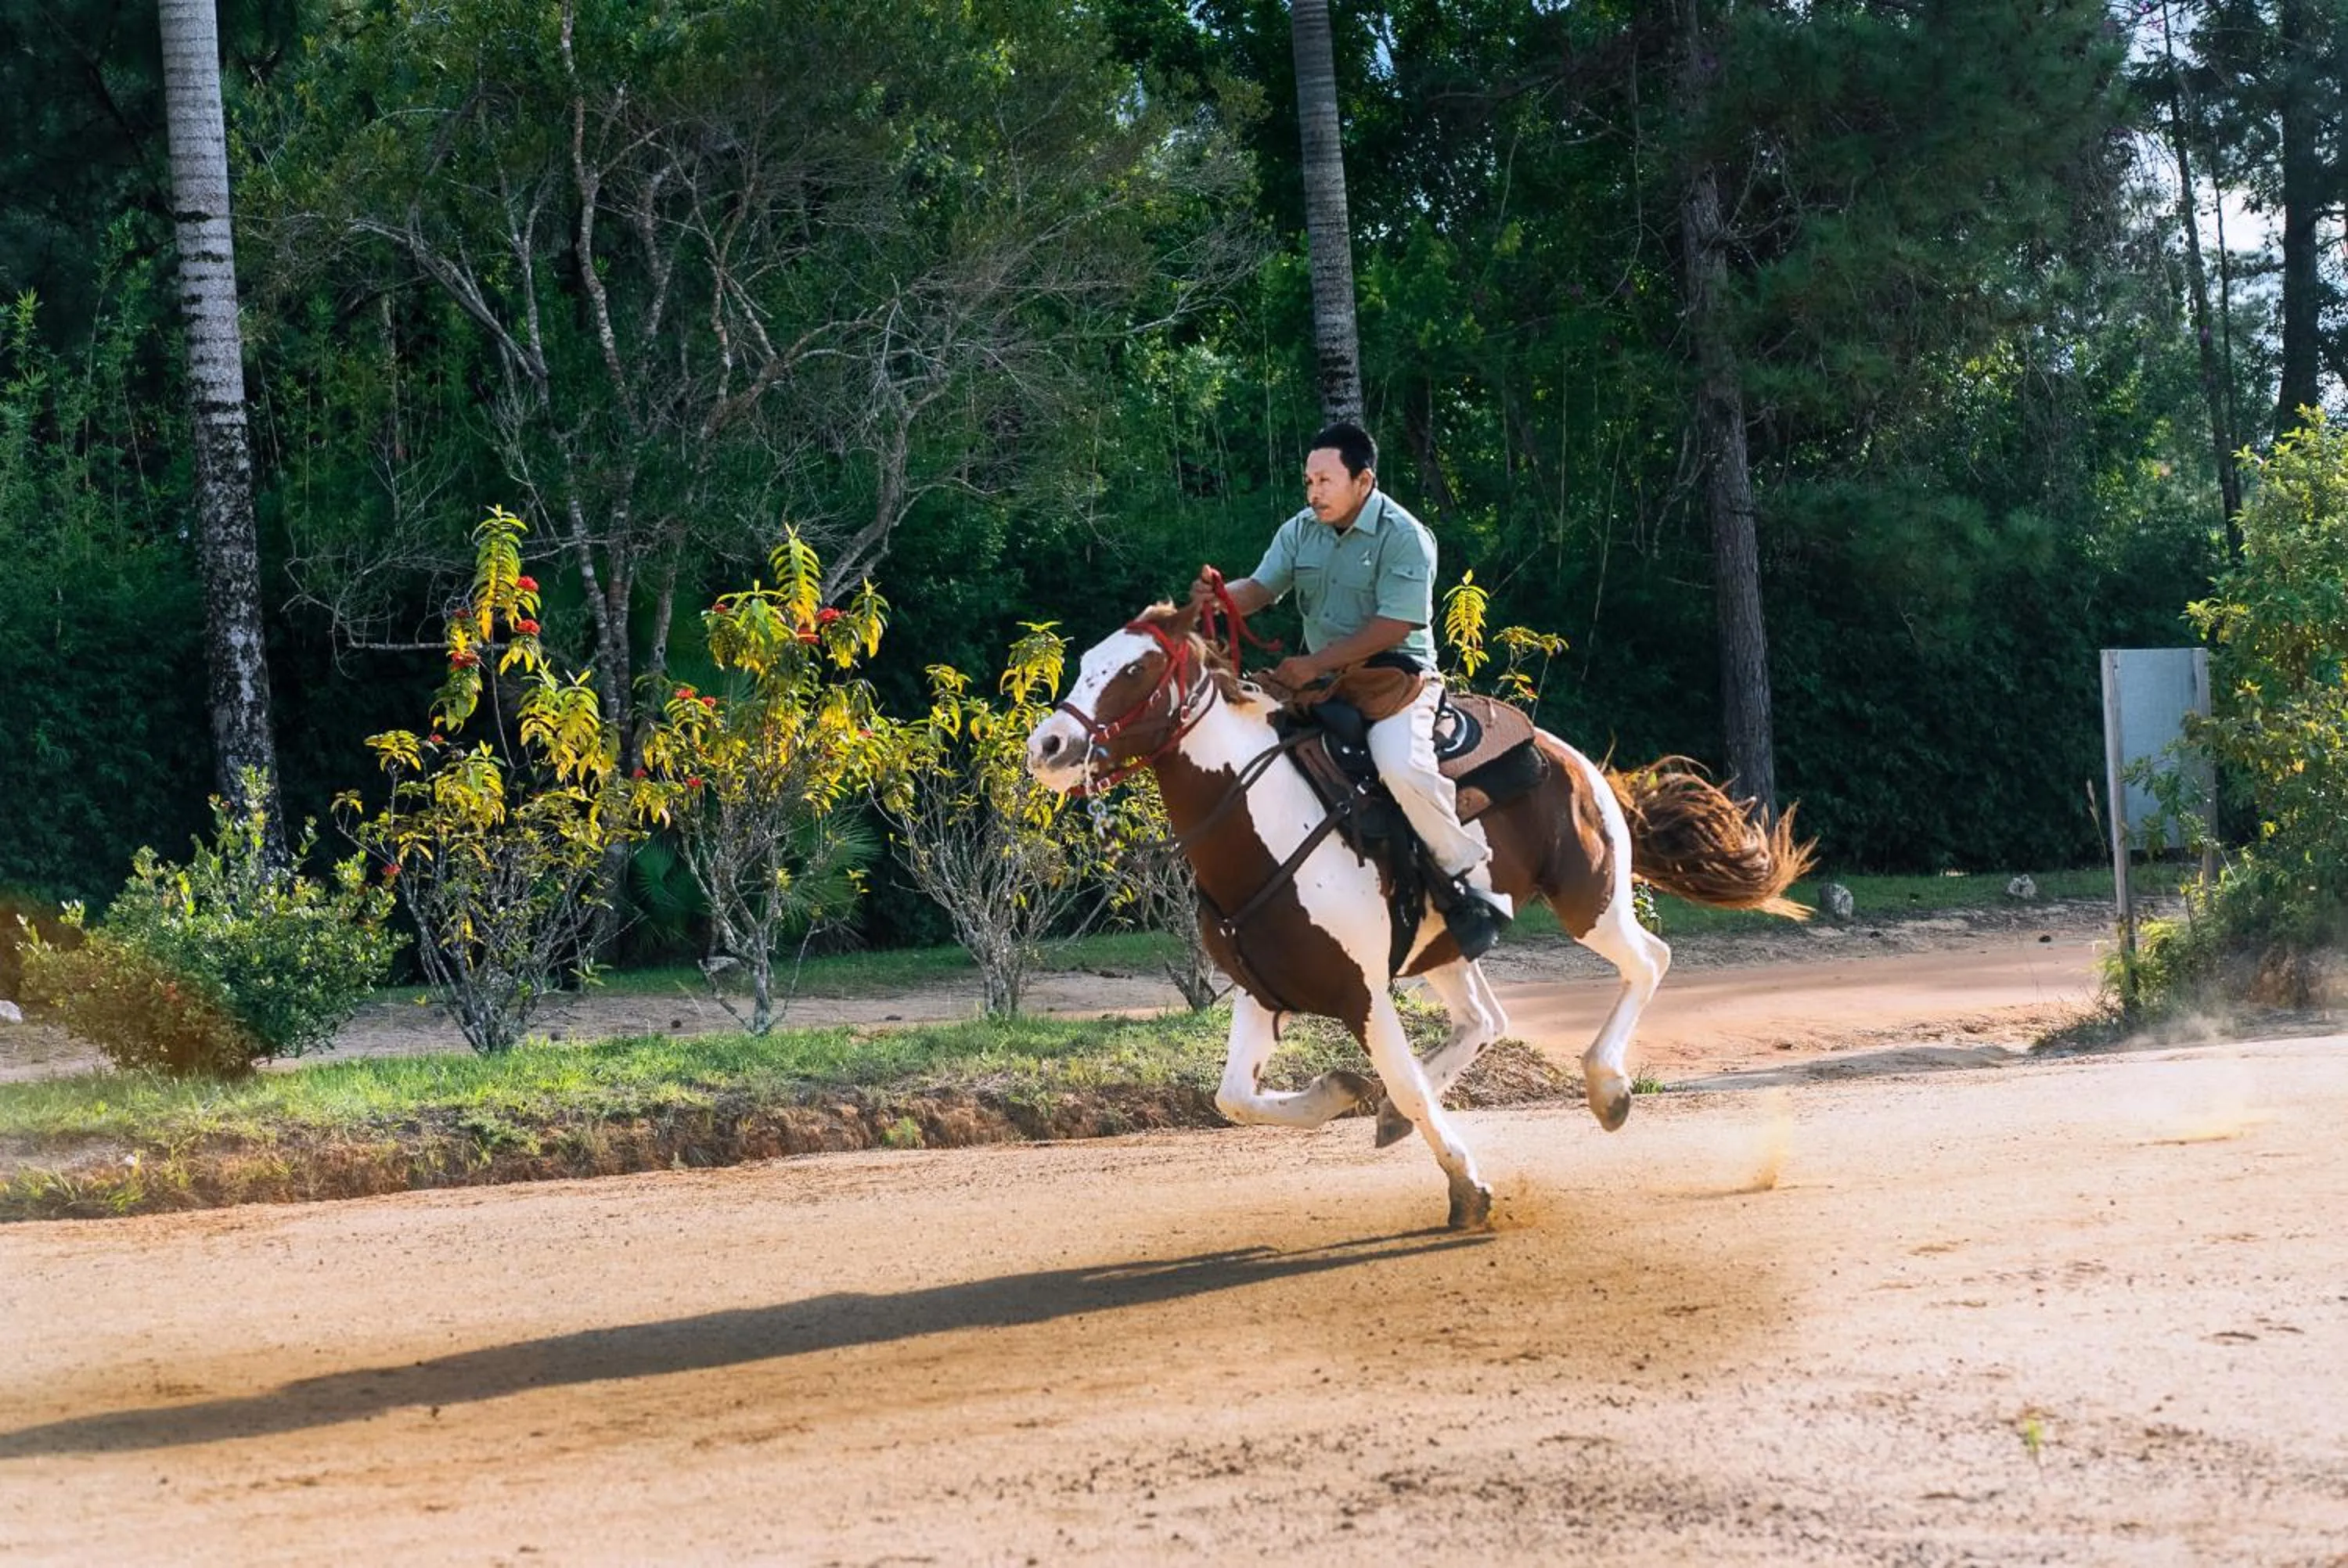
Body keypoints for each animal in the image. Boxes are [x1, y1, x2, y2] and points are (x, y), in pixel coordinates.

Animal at [1024, 600, 1814, 1230]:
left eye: (1135, 669)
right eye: (1088, 663)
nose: (1048, 746)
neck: (1260, 822)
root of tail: (1574, 757)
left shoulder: (1361, 994)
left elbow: (1396, 1076)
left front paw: (1467, 1187)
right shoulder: (1262, 989)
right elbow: (1235, 1098)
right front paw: (1341, 1092)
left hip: (1590, 900)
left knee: (1649, 962)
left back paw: (1607, 1087)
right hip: (1445, 948)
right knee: (1486, 1019)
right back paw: (1402, 1114)